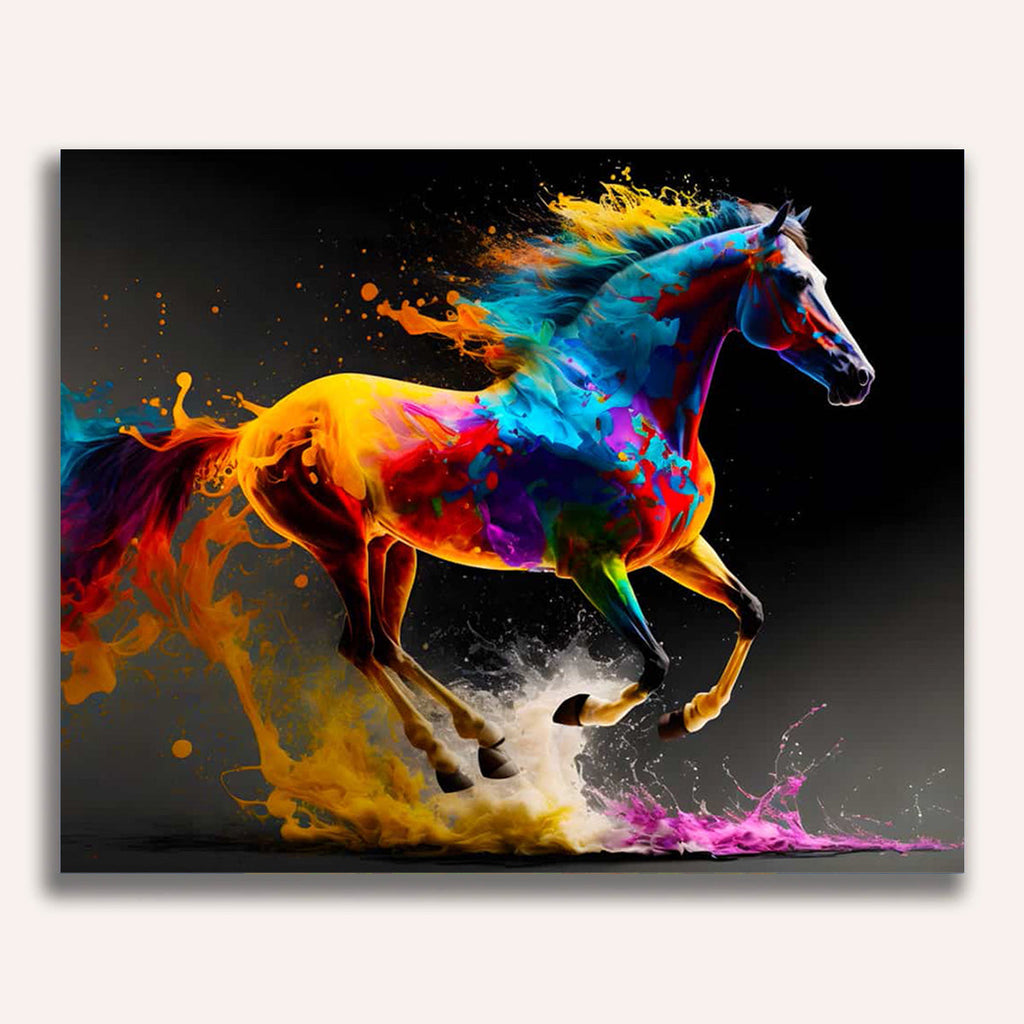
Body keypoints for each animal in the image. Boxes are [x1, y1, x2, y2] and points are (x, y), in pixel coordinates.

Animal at [60, 191, 874, 794]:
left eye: (825, 281)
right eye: (795, 283)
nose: (858, 379)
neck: (617, 400)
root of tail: (258, 427)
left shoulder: (675, 550)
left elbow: (751, 612)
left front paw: (689, 720)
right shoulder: (594, 566)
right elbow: (652, 663)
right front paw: (577, 710)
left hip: (393, 548)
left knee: (384, 644)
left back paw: (489, 745)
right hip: (337, 545)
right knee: (364, 647)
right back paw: (456, 763)